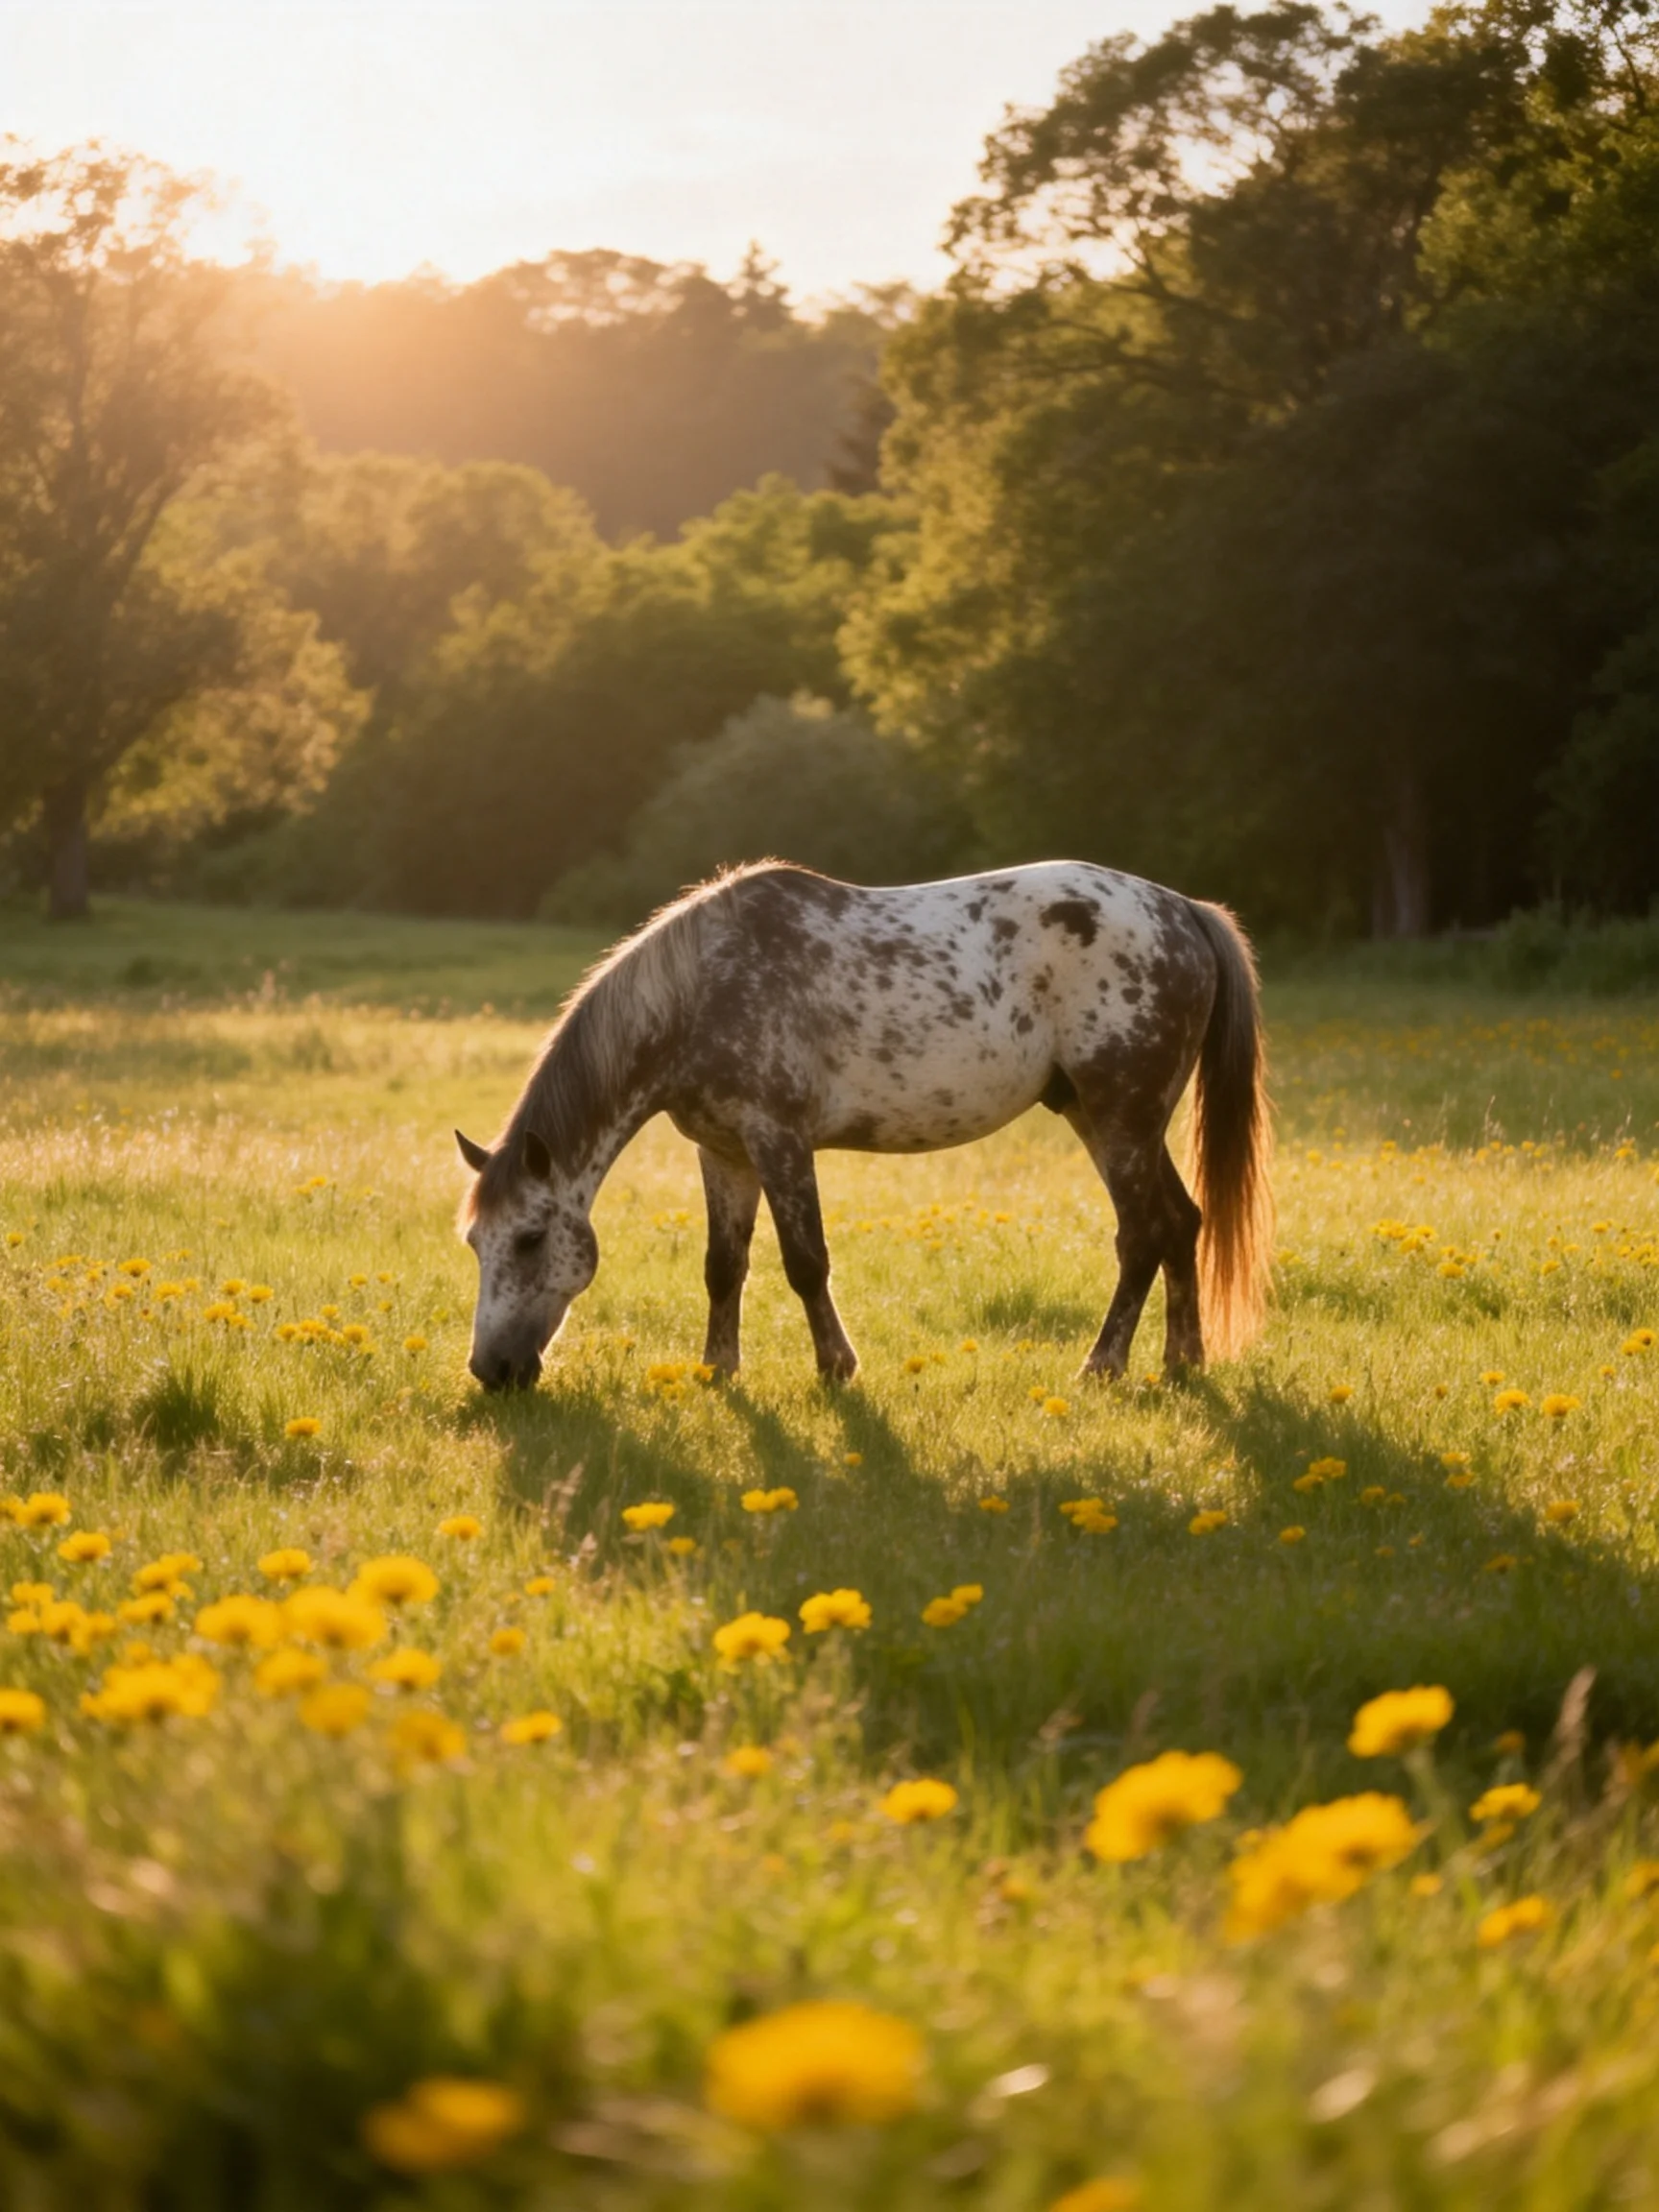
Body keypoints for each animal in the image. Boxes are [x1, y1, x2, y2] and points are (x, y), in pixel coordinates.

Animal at [456, 859, 1272, 1391]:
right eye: (474, 1243)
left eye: (529, 1238)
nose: (491, 1370)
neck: (701, 993)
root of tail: (1184, 911)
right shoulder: (724, 1152)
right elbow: (724, 1266)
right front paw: (717, 1371)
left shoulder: (778, 1140)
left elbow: (804, 1261)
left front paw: (835, 1367)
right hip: (1106, 1121)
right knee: (1182, 1221)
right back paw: (1182, 1362)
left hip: (1120, 1121)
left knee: (1142, 1234)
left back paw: (1102, 1366)